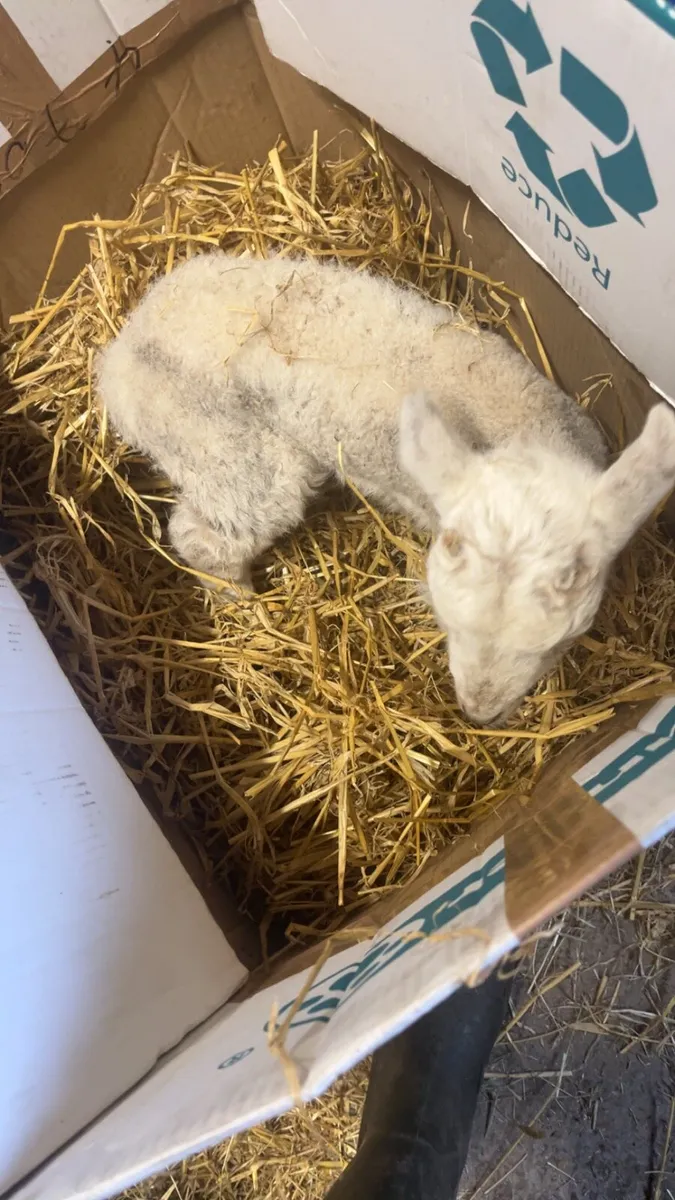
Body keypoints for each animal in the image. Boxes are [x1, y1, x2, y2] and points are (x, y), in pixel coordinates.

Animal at [96, 250, 675, 726]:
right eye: (448, 624)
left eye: (560, 642)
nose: (479, 714)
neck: (523, 433)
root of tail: (120, 355)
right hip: (227, 449)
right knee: (204, 535)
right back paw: (245, 609)